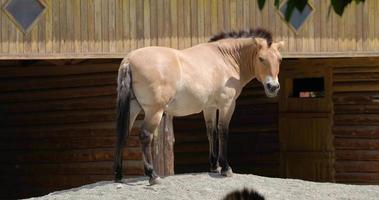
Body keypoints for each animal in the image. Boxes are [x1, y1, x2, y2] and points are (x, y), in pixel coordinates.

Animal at [114, 27, 284, 184]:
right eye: (261, 58)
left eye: (280, 59)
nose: (273, 87)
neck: (225, 59)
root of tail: (129, 60)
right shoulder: (227, 105)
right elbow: (223, 132)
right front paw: (225, 168)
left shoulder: (210, 108)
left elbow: (212, 132)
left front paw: (214, 166)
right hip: (154, 111)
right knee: (145, 136)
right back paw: (152, 175)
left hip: (133, 108)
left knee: (122, 134)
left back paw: (118, 176)